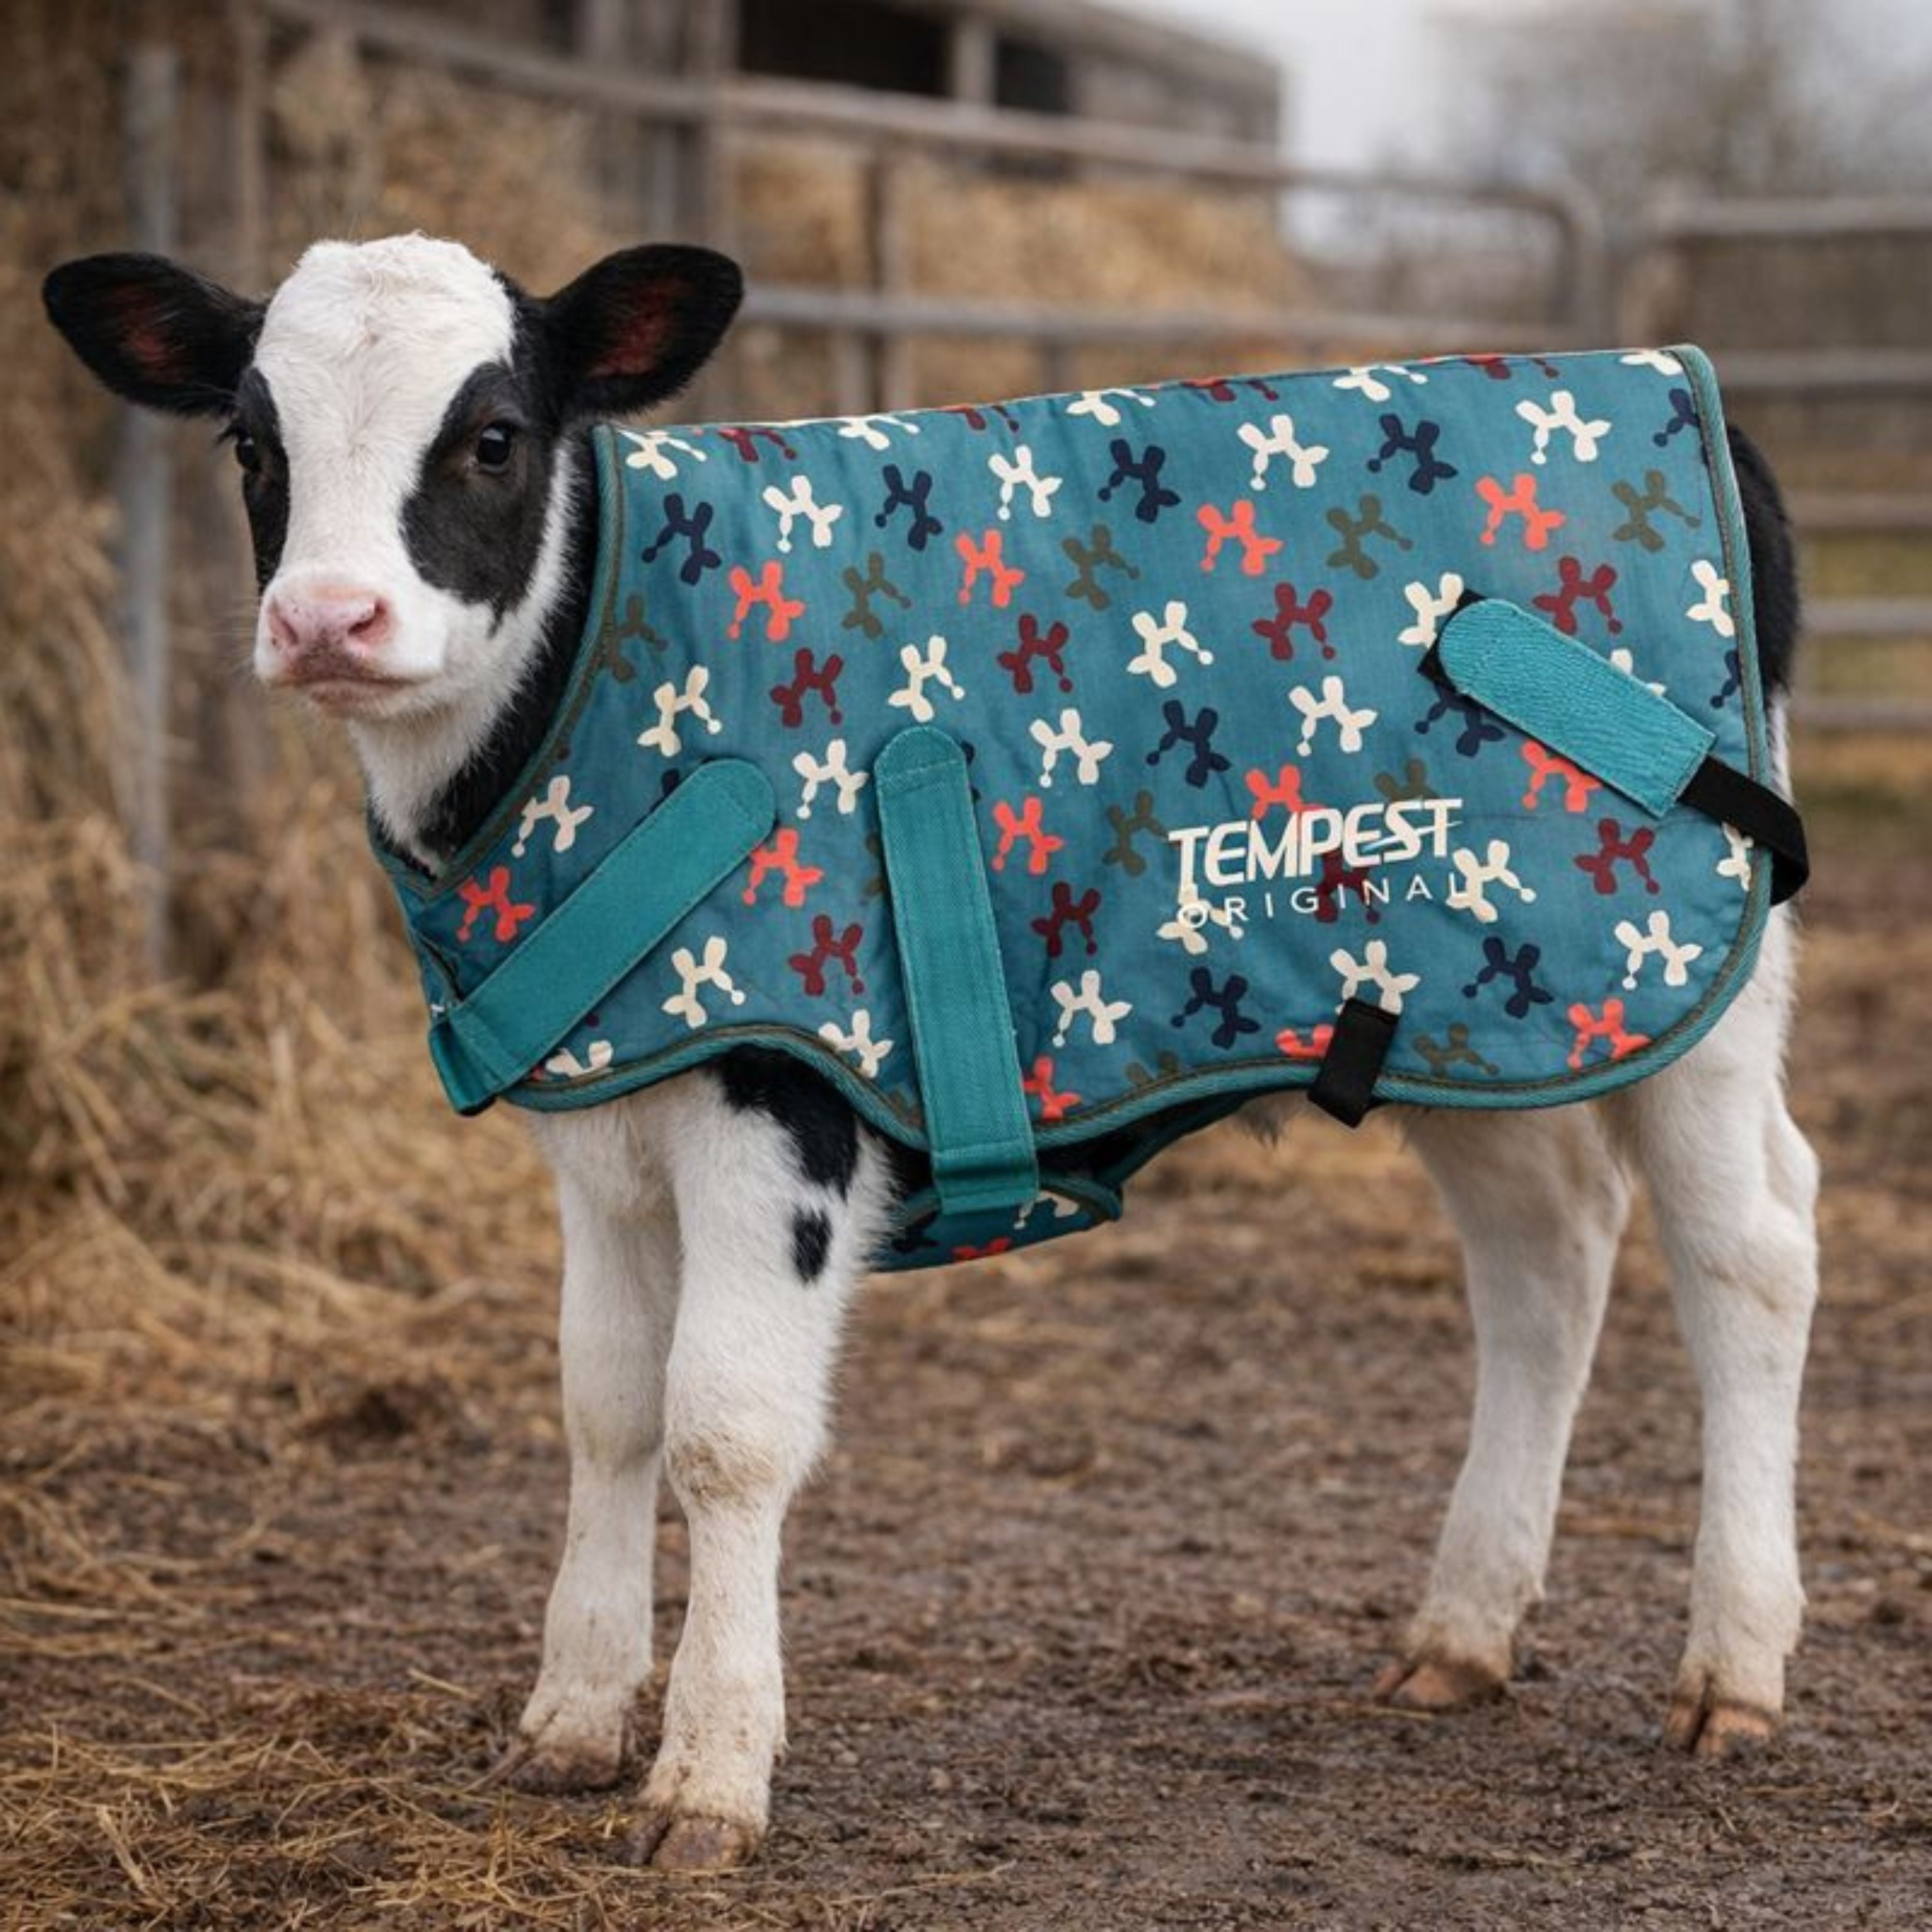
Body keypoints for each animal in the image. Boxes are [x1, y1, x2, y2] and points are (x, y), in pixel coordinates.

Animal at [43, 235, 1819, 1873]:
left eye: (490, 437)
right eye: (251, 443)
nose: (327, 619)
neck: (596, 679)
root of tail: (1687, 395)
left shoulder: (786, 1094)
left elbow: (725, 1427)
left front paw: (708, 1777)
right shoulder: (601, 1118)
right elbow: (606, 1405)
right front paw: (569, 1721)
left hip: (1698, 977)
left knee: (1752, 1252)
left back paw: (1734, 1664)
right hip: (1479, 1008)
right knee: (1547, 1256)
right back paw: (1462, 1630)